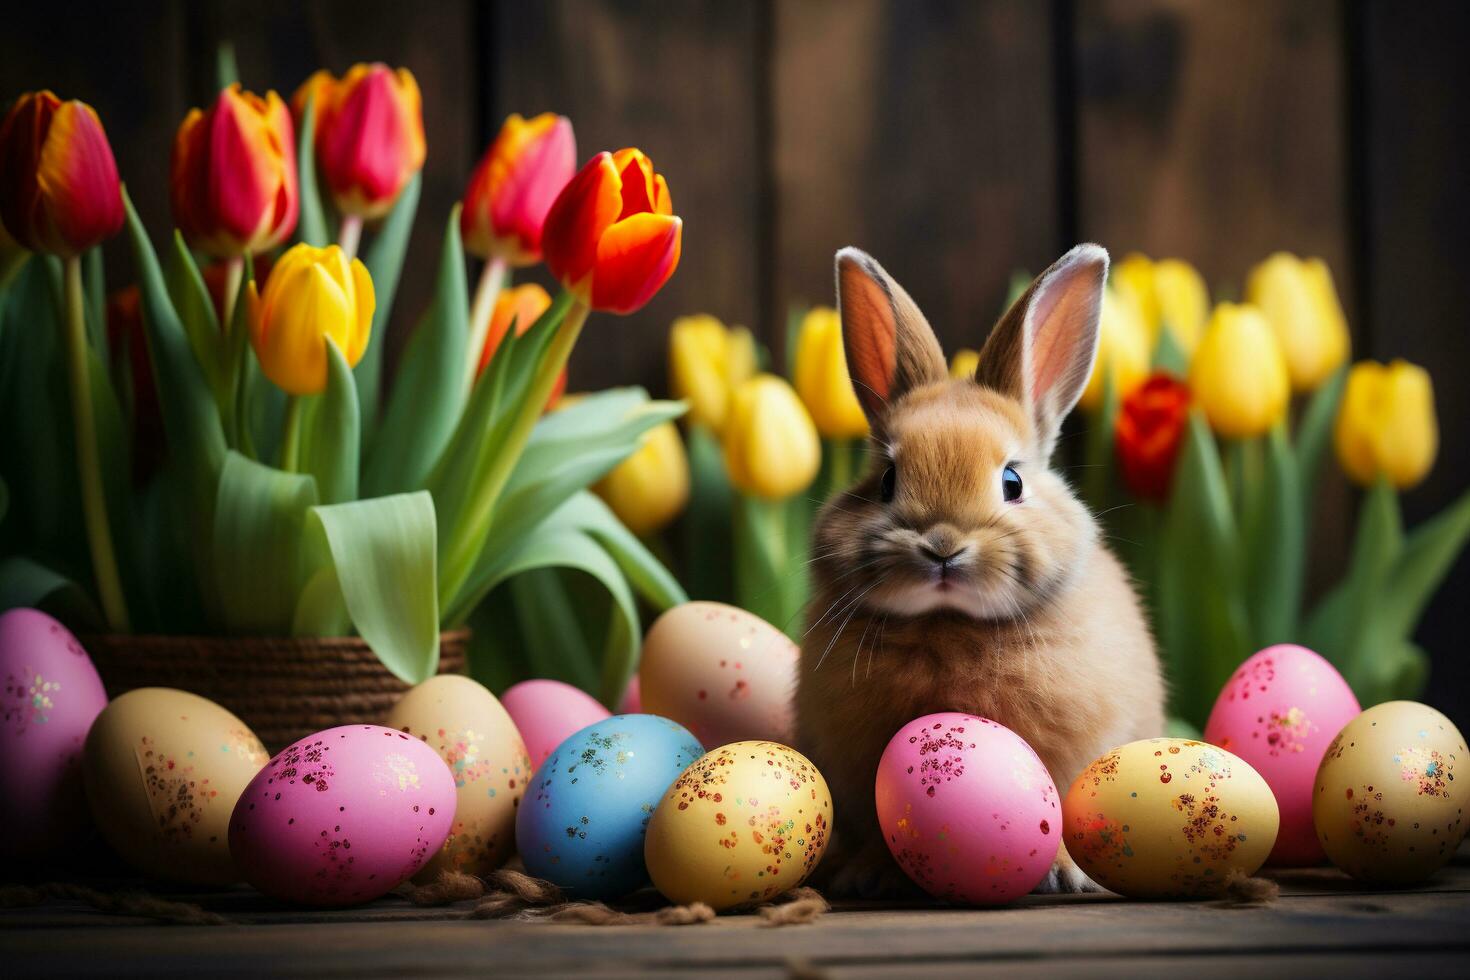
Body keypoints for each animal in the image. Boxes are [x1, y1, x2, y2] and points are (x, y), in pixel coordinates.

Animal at [799, 243, 1164, 899]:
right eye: (887, 480)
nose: (943, 546)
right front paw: (870, 874)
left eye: (1012, 481)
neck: (949, 623)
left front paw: (1063, 872)